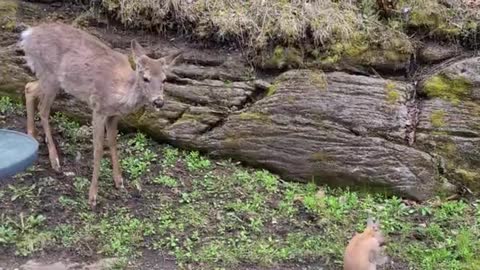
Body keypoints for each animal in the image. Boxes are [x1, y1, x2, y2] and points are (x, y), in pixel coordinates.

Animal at [19, 22, 182, 208]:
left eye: (164, 80)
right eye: (145, 78)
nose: (158, 102)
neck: (120, 94)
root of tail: (27, 35)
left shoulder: (114, 115)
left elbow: (113, 142)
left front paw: (119, 181)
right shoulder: (98, 108)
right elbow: (97, 148)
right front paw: (92, 196)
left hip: (51, 80)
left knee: (29, 87)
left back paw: (32, 134)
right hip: (49, 75)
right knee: (43, 108)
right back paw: (55, 160)